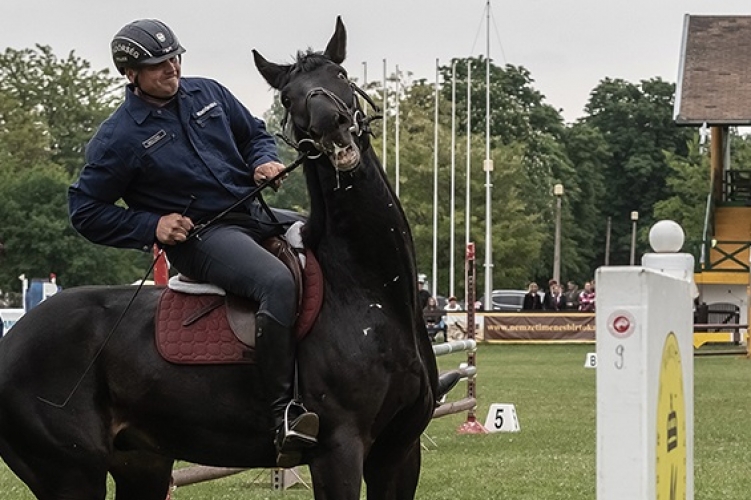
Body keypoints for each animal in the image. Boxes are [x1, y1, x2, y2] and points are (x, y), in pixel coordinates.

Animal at [0, 15, 440, 500]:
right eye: (288, 96)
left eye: (340, 75)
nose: (332, 125)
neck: (364, 291)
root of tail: (12, 341)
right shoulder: (338, 453)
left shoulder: (399, 454)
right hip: (72, 476)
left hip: (142, 464)